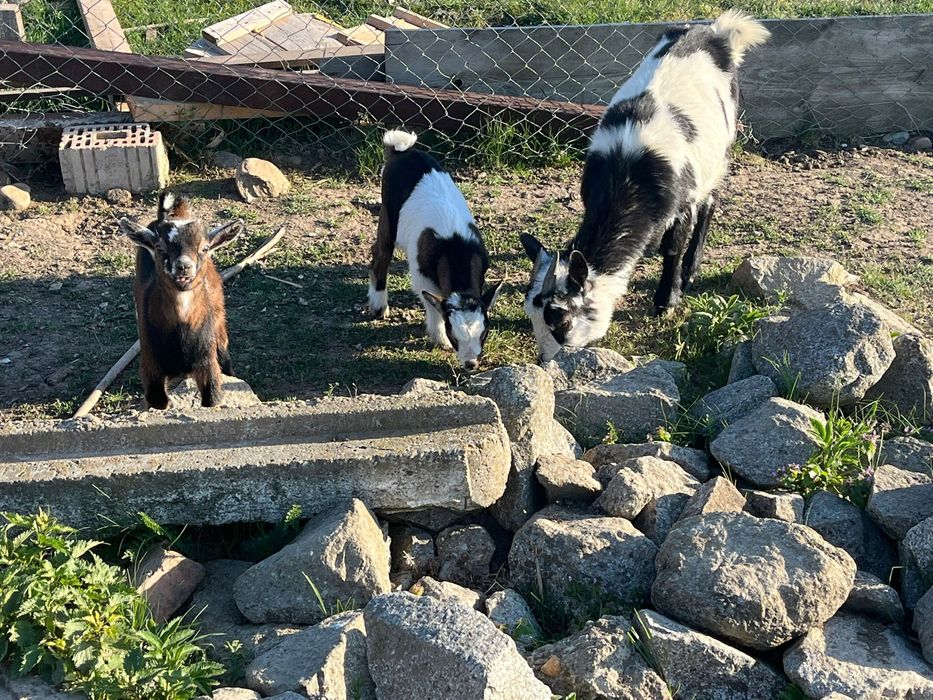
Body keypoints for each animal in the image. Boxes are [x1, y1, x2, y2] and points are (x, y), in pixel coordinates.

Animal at [120, 193, 243, 408]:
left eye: (204, 248)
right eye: (160, 249)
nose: (183, 266)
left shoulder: (206, 361)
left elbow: (212, 397)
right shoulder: (151, 363)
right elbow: (157, 400)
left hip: (219, 316)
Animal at [368, 130, 503, 370]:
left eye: (484, 333)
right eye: (454, 335)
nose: (471, 364)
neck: (456, 250)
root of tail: (401, 151)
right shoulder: (421, 274)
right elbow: (431, 304)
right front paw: (440, 338)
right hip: (387, 214)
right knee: (381, 252)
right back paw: (378, 305)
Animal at [521, 11, 770, 360]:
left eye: (563, 322)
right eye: (531, 316)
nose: (545, 360)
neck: (625, 173)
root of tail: (715, 32)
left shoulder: (682, 201)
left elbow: (673, 247)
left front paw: (667, 301)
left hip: (721, 145)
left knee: (711, 199)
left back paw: (691, 269)